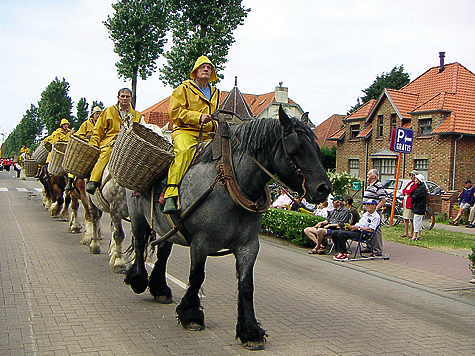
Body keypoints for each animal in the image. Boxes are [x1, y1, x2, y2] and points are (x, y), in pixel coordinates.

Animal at [123, 106, 330, 350]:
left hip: (167, 228)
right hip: (138, 218)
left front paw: (249, 331)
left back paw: (160, 289)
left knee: (163, 254)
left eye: (316, 148)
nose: (324, 189)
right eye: (296, 148)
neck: (229, 183)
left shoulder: (248, 246)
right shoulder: (200, 243)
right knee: (138, 245)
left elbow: (246, 285)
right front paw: (191, 315)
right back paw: (138, 280)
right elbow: (196, 277)